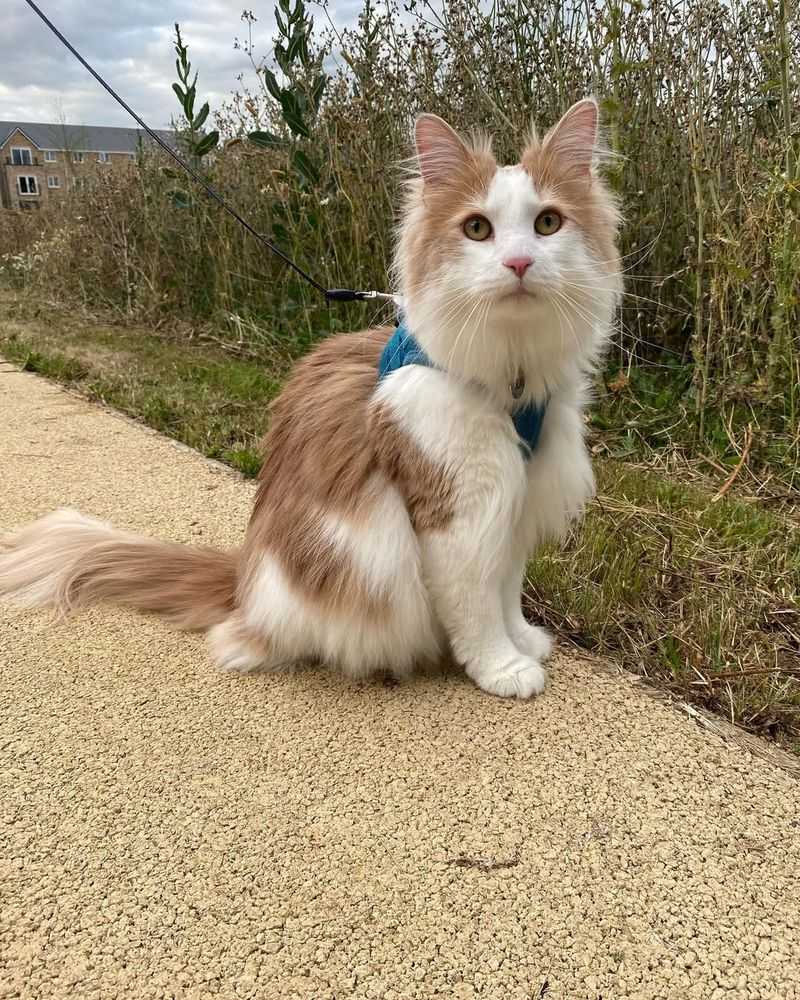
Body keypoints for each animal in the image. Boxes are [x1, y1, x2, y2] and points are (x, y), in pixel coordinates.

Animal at [0, 99, 620, 696]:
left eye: (547, 223)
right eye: (477, 229)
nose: (519, 262)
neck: (512, 375)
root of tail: (243, 581)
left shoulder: (519, 502)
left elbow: (508, 590)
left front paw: (525, 640)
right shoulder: (457, 513)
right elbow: (478, 609)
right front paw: (502, 668)